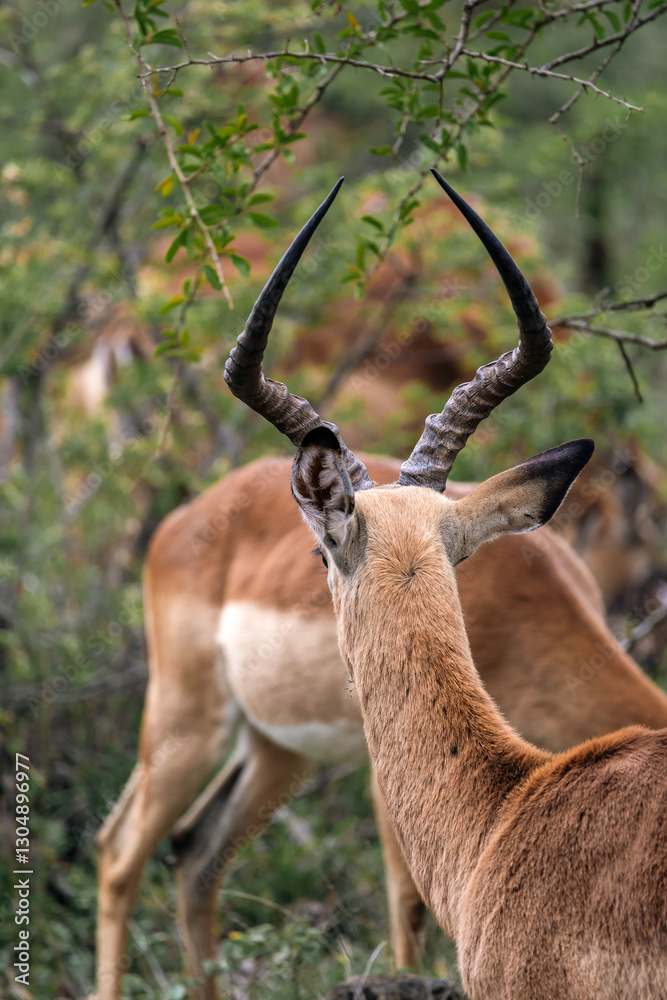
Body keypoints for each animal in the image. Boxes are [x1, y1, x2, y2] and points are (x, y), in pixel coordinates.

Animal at [92, 176, 667, 1000]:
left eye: (320, 552)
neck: (511, 809)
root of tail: (181, 522)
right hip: (195, 722)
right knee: (130, 850)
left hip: (263, 744)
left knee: (186, 851)